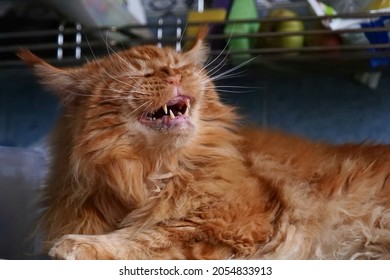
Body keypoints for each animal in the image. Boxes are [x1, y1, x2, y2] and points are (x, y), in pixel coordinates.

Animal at [19, 27, 390, 260]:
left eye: (180, 66)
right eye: (141, 74)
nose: (175, 75)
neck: (149, 174)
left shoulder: (234, 222)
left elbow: (151, 234)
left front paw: (77, 246)